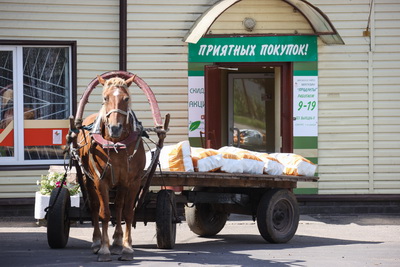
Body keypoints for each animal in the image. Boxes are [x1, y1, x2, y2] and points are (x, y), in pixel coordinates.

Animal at [76, 75, 145, 262]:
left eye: (126, 99)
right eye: (105, 98)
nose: (115, 128)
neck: (116, 144)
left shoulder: (133, 181)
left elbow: (127, 212)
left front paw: (127, 247)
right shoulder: (100, 181)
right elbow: (105, 213)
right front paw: (104, 249)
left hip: (122, 184)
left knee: (119, 206)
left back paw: (118, 241)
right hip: (88, 180)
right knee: (94, 206)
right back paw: (96, 242)